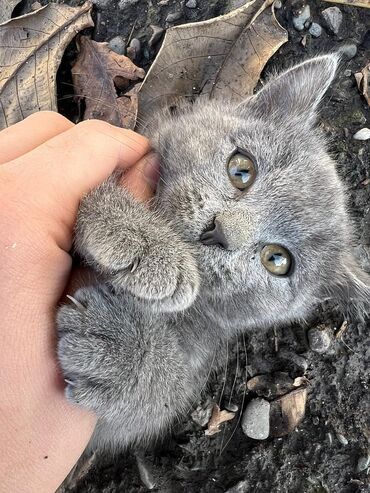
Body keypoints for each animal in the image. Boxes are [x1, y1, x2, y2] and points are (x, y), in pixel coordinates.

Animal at [57, 55, 370, 452]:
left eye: (277, 260)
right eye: (242, 170)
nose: (221, 231)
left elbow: (150, 406)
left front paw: (119, 350)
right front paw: (140, 240)